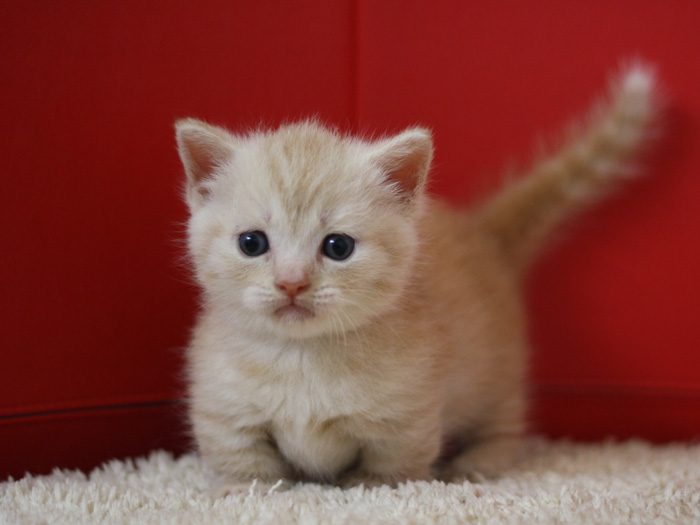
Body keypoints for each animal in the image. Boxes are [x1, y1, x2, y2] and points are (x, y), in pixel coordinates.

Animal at [178, 64, 660, 492]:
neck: (302, 357)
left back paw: (475, 464)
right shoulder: (221, 407)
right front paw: (241, 489)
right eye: (252, 243)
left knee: (503, 428)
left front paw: (371, 484)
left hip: (497, 375)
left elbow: (395, 460)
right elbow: (240, 455)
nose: (291, 282)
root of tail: (480, 232)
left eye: (338, 247)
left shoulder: (408, 414)